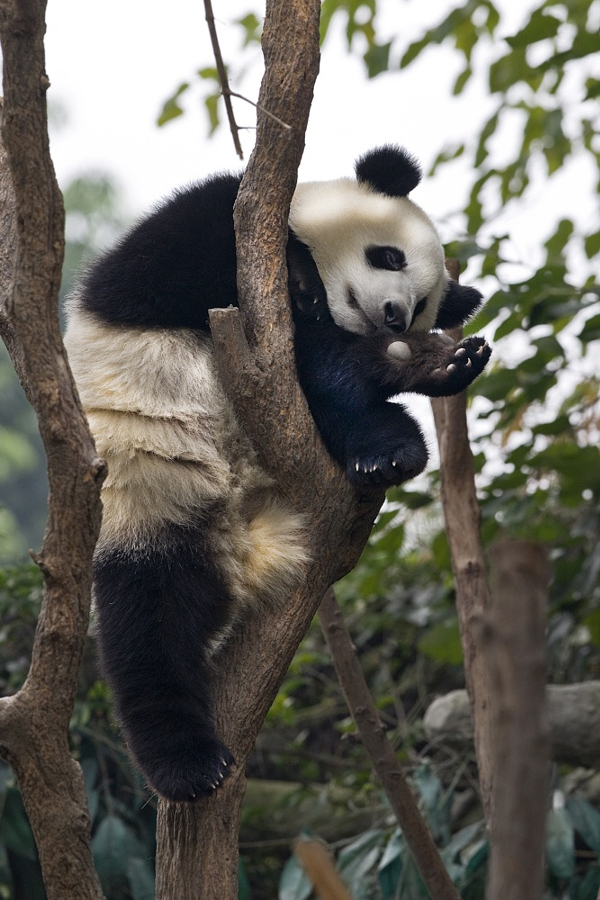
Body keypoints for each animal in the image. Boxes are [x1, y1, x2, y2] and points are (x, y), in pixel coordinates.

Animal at [63, 144, 490, 800]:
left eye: (422, 304)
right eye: (387, 256)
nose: (394, 317)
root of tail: (240, 536)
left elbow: (328, 370)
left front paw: (402, 367)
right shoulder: (211, 226)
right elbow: (182, 266)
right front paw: (304, 283)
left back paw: (400, 424)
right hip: (150, 493)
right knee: (147, 623)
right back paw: (187, 765)